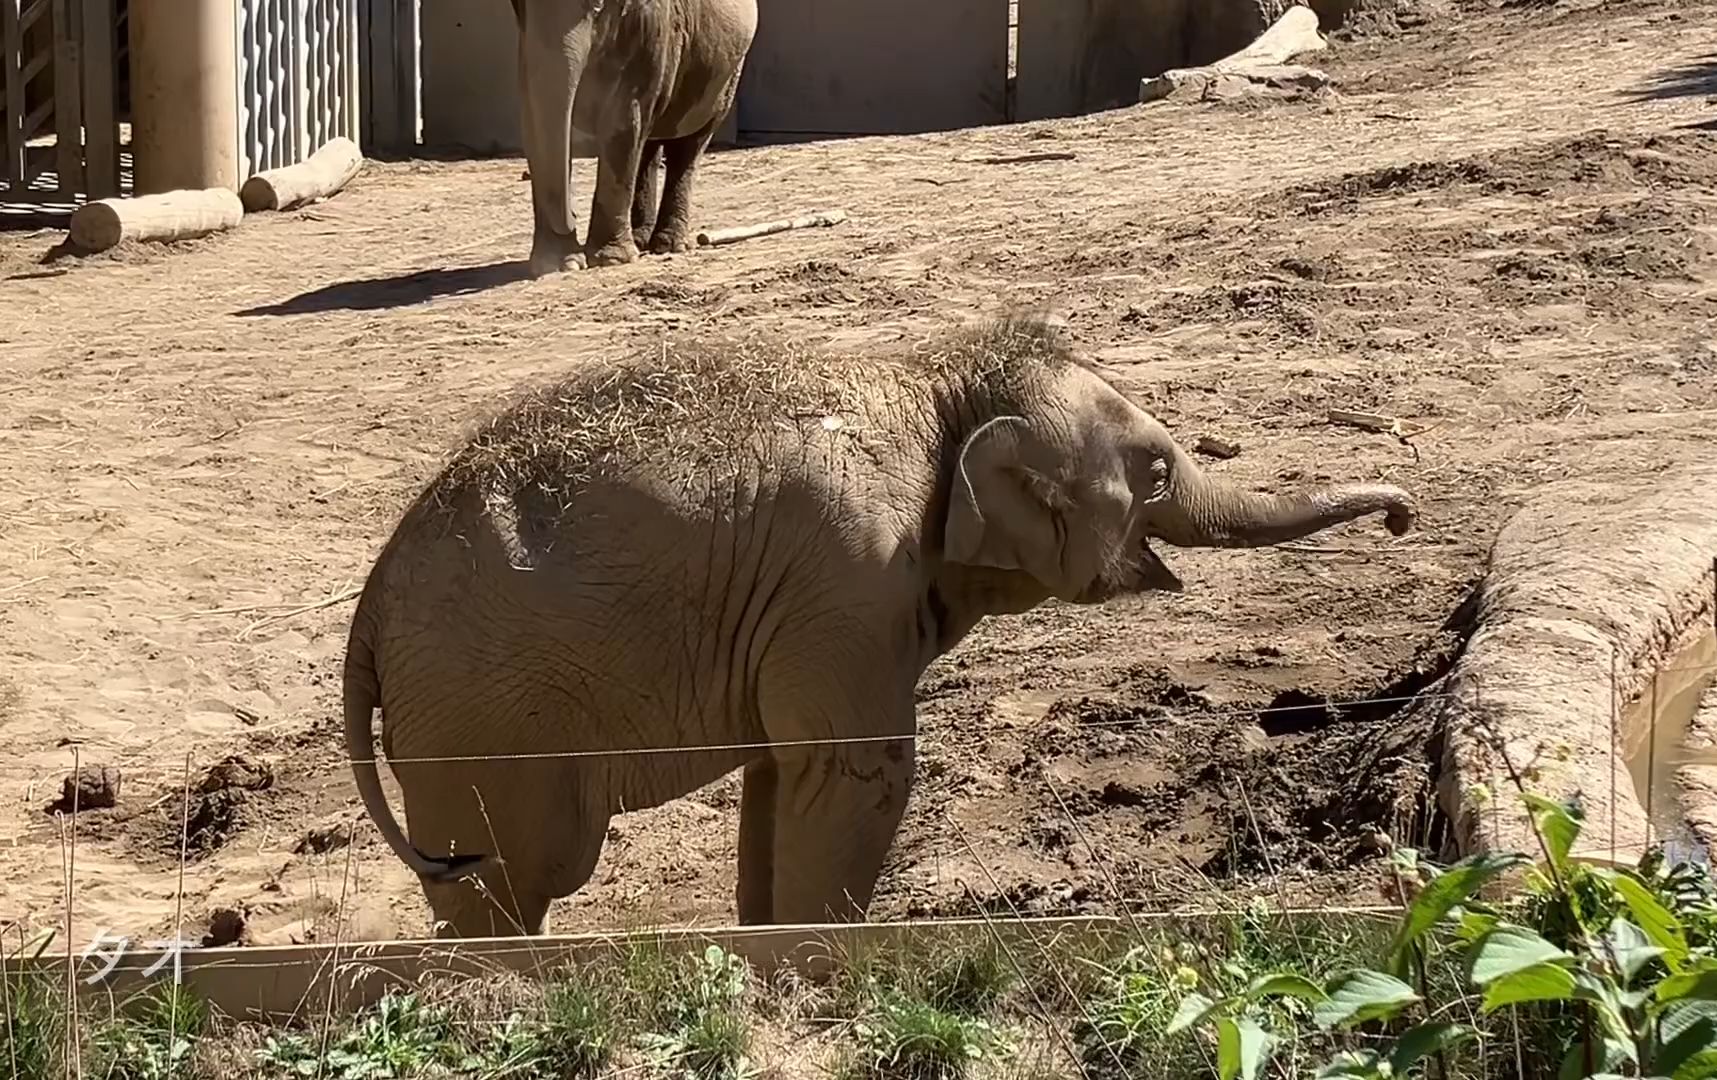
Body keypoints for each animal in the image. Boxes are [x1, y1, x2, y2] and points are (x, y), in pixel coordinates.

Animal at [341, 314, 1414, 934]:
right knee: (508, 876)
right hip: (481, 722)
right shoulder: (850, 582)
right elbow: (858, 773)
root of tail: (369, 602)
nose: (1405, 516)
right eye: (1154, 472)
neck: (935, 383)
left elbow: (782, 779)